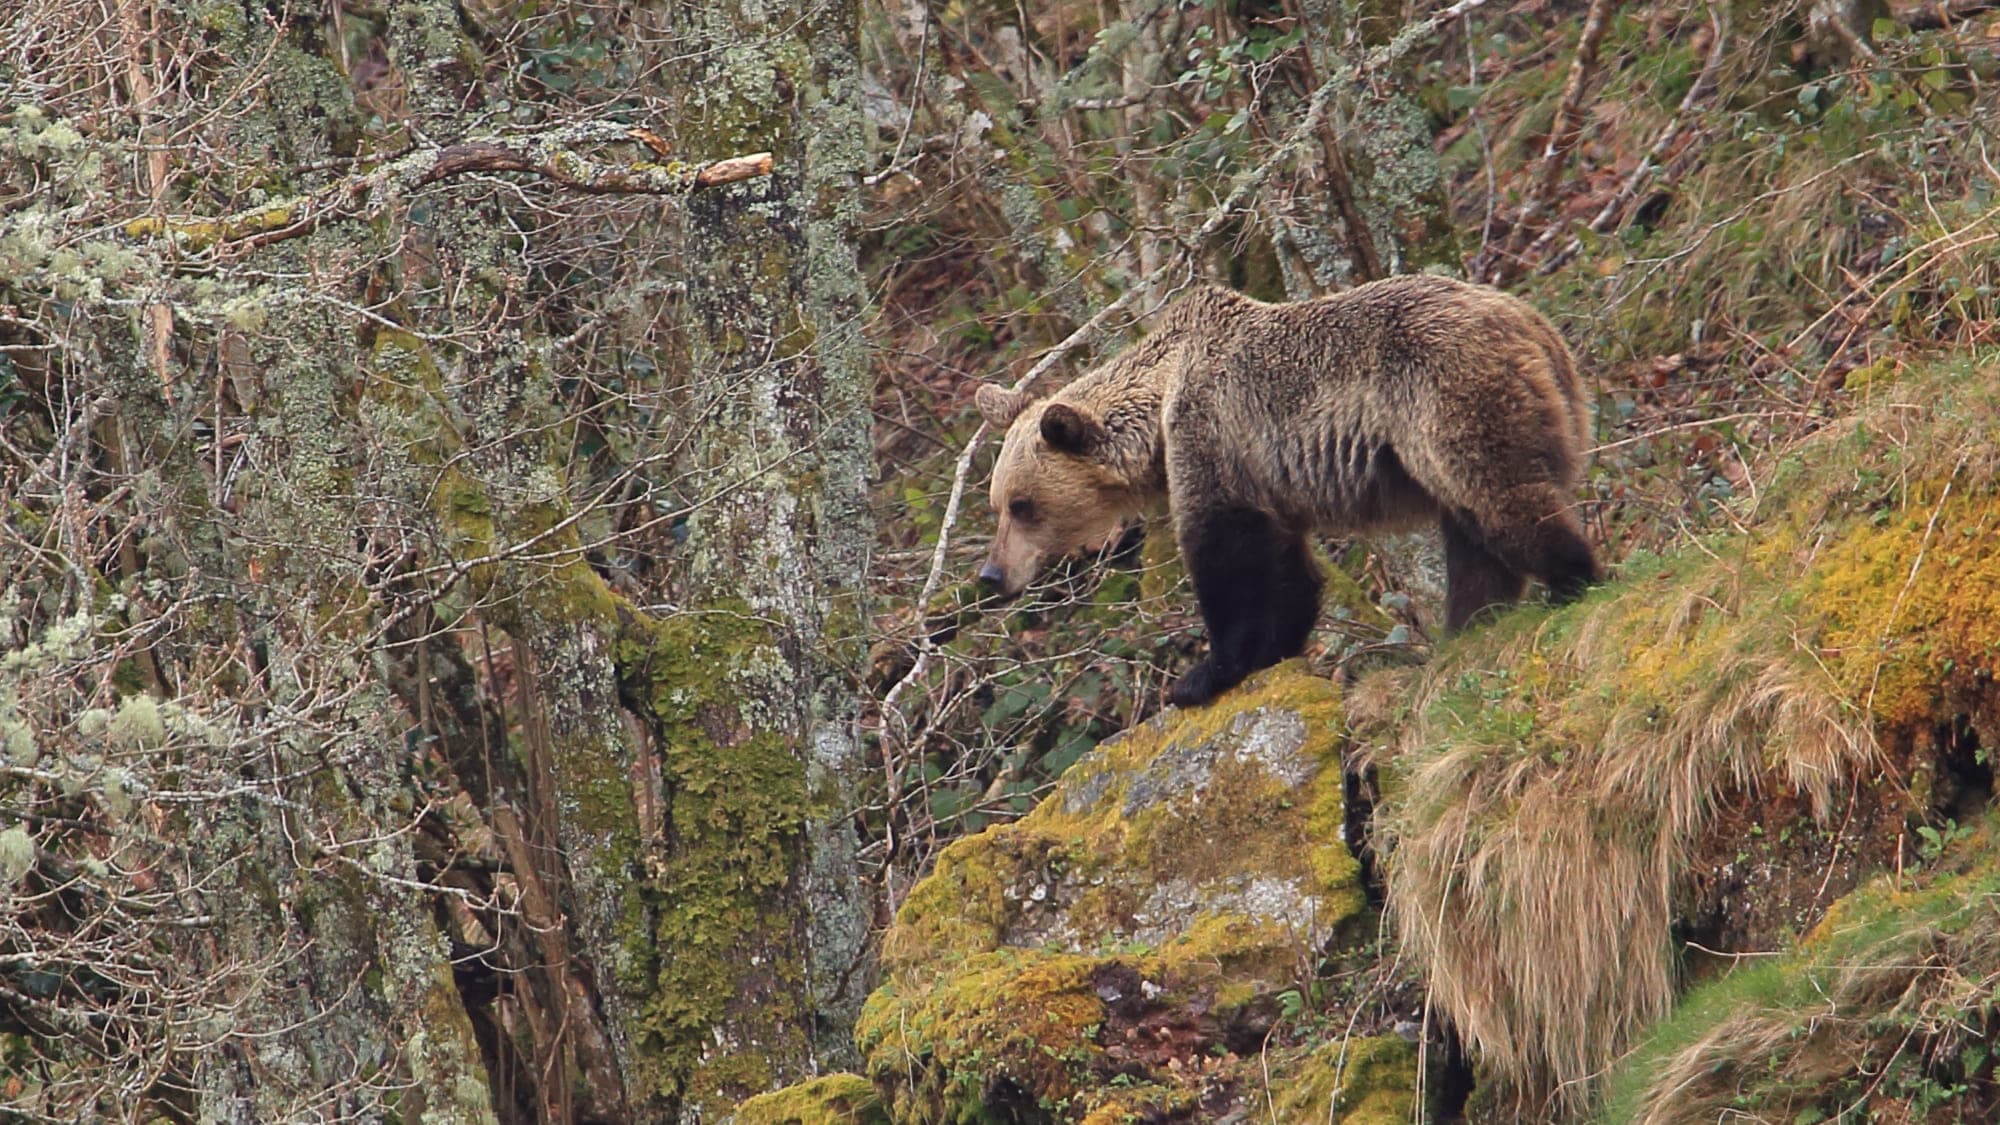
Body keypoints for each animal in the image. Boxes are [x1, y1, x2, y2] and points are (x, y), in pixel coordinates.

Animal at [976, 272, 1600, 704]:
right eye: (997, 504)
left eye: (1023, 506)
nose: (991, 575)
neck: (1157, 405)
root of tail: (1535, 324)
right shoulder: (1268, 474)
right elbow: (1288, 566)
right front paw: (1277, 646)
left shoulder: (1211, 432)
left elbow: (1227, 553)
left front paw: (1199, 676)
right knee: (1472, 533)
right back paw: (1470, 626)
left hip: (1443, 395)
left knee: (1500, 499)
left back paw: (1573, 581)